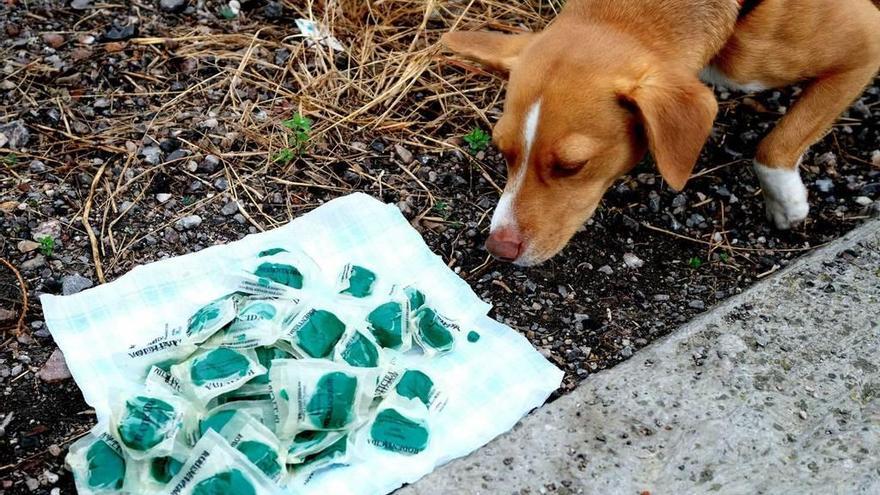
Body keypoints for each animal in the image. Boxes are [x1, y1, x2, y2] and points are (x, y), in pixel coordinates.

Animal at [444, 0, 880, 268]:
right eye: (502, 151)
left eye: (572, 166)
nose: (497, 247)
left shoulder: (866, 46)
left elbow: (775, 145)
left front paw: (786, 203)